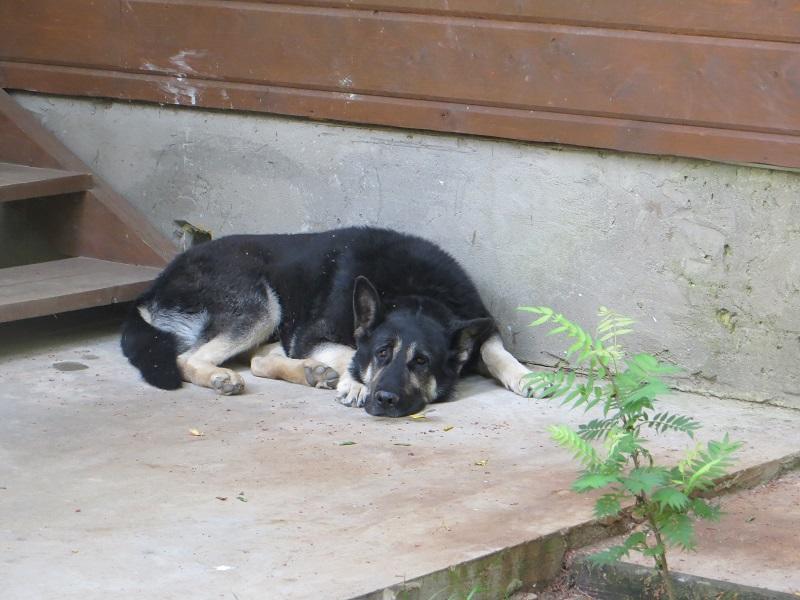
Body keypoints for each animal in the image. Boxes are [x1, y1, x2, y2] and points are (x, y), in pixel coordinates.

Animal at [120, 226, 532, 418]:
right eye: (382, 353)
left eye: (421, 362)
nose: (383, 399)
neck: (417, 292)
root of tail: (153, 287)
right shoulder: (313, 335)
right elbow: (349, 353)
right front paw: (353, 382)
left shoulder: (478, 324)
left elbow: (494, 349)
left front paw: (527, 376)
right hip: (261, 306)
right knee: (188, 358)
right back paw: (223, 377)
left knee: (259, 360)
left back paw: (311, 373)